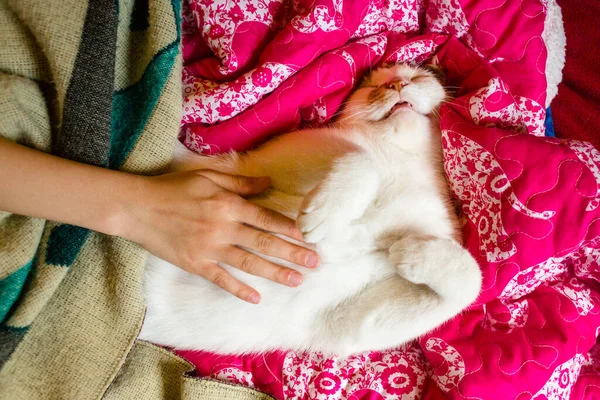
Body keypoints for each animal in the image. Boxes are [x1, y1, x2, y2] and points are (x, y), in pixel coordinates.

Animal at [138, 62, 480, 356]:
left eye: (417, 76)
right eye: (373, 86)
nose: (395, 84)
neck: (402, 160)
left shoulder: (347, 323)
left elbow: (470, 283)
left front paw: (412, 252)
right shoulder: (269, 164)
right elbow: (360, 157)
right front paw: (327, 215)